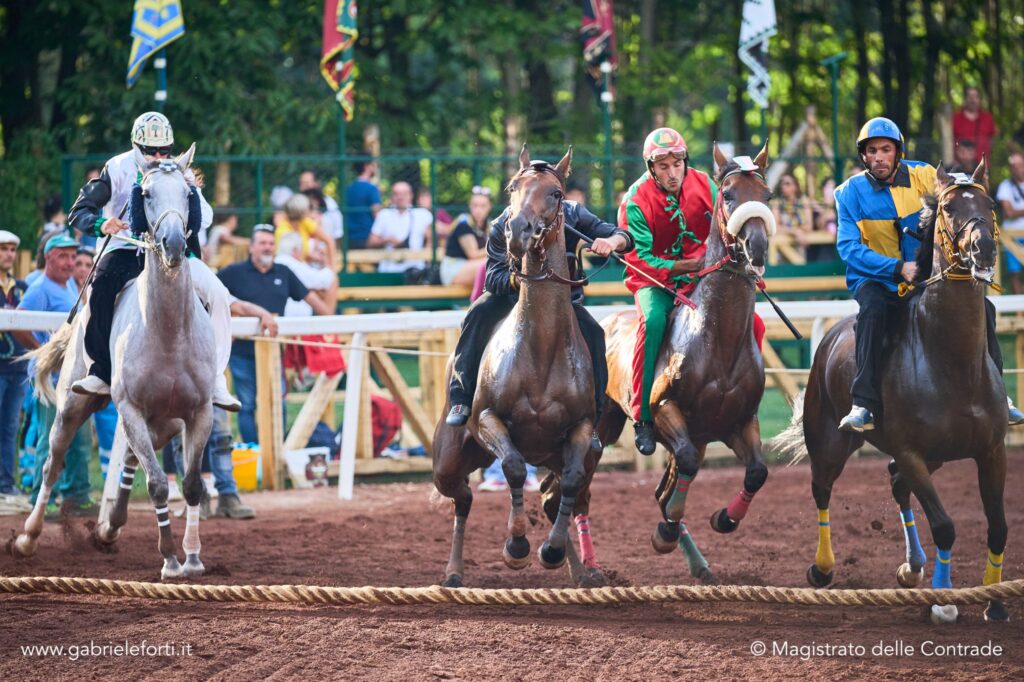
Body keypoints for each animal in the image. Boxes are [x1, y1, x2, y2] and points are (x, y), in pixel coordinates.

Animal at [14, 146, 216, 577]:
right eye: (148, 193)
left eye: (188, 194)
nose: (174, 244)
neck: (168, 335)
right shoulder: (131, 408)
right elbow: (157, 484)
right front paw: (170, 559)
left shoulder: (198, 413)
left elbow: (191, 484)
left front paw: (192, 557)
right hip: (72, 407)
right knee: (52, 464)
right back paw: (28, 537)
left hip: (164, 421)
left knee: (128, 458)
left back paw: (110, 528)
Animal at [778, 159, 1011, 622]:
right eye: (949, 208)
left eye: (989, 204)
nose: (984, 250)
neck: (952, 365)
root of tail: (830, 338)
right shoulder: (911, 451)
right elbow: (945, 526)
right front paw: (945, 600)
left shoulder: (990, 450)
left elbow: (997, 526)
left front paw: (994, 602)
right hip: (829, 442)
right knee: (823, 489)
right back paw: (823, 568)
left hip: (935, 457)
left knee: (896, 484)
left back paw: (913, 566)